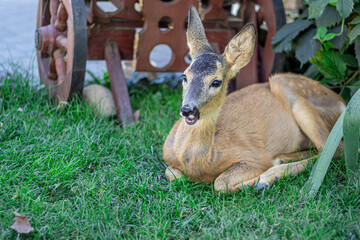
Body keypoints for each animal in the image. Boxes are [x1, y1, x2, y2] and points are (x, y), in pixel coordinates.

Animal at [162, 6, 346, 193]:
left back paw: (270, 174)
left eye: (216, 82)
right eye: (184, 76)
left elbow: (221, 183)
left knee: (334, 150)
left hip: (288, 91)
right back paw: (281, 159)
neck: (197, 162)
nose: (187, 109)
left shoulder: (253, 157)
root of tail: (343, 103)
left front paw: (261, 179)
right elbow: (172, 174)